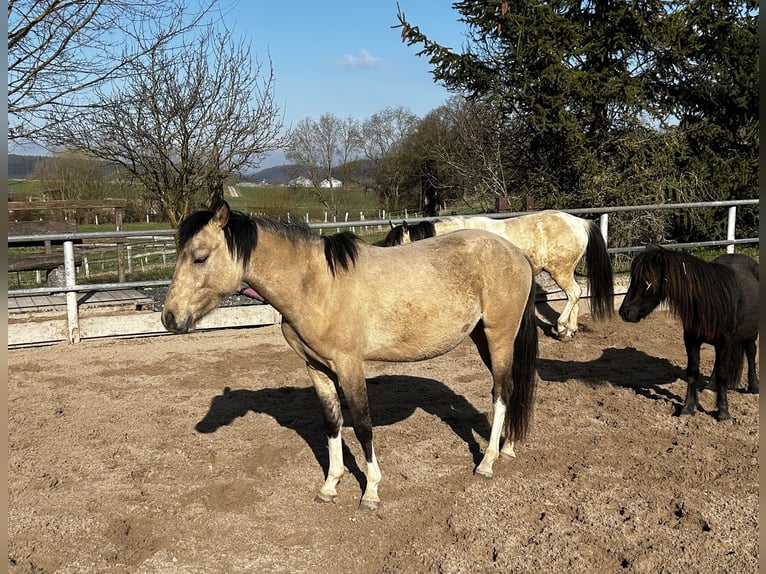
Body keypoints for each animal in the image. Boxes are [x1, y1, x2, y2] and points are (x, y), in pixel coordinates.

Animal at [162, 201, 539, 509]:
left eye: (200, 257)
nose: (170, 318)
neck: (316, 286)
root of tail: (516, 253)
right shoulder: (317, 368)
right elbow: (332, 424)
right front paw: (330, 485)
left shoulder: (349, 366)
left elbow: (361, 424)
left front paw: (370, 491)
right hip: (482, 337)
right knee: (510, 389)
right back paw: (507, 447)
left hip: (499, 336)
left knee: (501, 393)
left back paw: (487, 461)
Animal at [384, 210, 614, 339]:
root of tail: (580, 223)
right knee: (575, 293)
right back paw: (570, 330)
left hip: (560, 270)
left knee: (574, 293)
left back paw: (562, 329)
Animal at [619, 246, 759, 422]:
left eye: (646, 281)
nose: (624, 312)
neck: (709, 301)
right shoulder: (691, 340)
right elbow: (692, 372)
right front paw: (688, 408)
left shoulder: (725, 342)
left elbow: (723, 375)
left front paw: (724, 413)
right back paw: (710, 387)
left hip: (751, 332)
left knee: (751, 353)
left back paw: (754, 387)